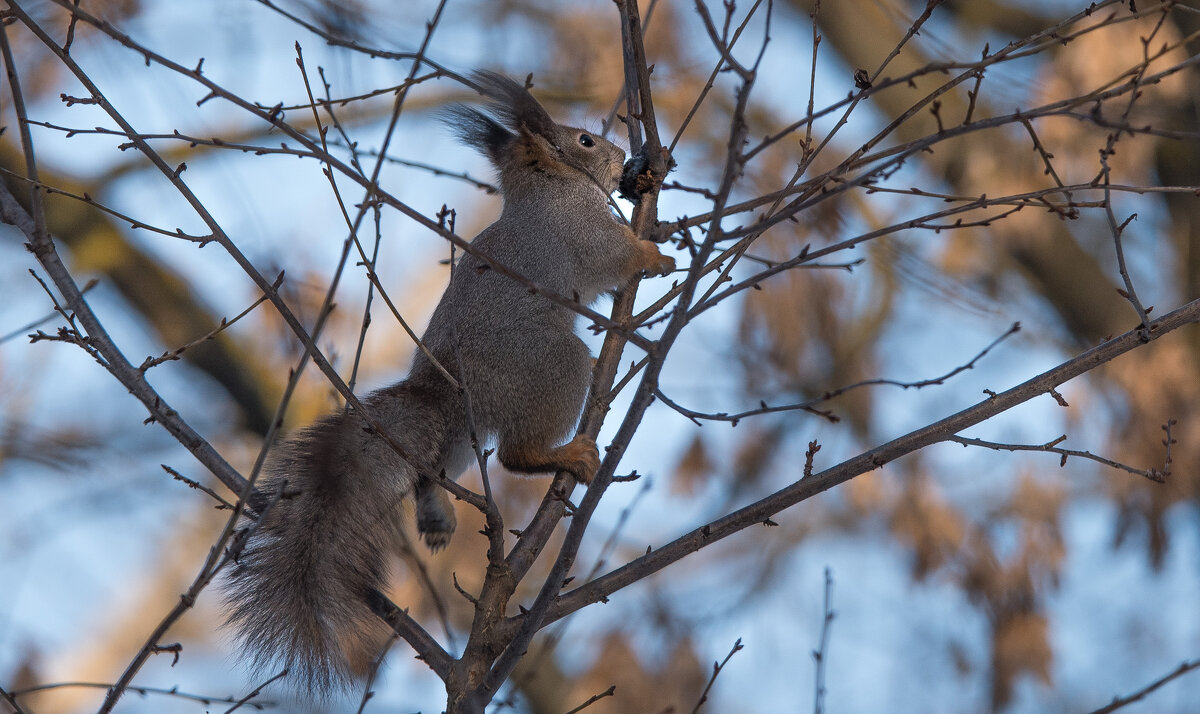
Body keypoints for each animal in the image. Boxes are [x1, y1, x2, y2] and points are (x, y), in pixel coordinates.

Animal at [223, 72, 676, 691]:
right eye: (585, 141)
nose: (622, 158)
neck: (548, 191)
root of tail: (441, 392)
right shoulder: (582, 233)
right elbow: (615, 260)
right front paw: (654, 252)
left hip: (462, 438)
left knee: (432, 469)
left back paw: (436, 512)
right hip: (550, 367)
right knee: (513, 455)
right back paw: (563, 456)